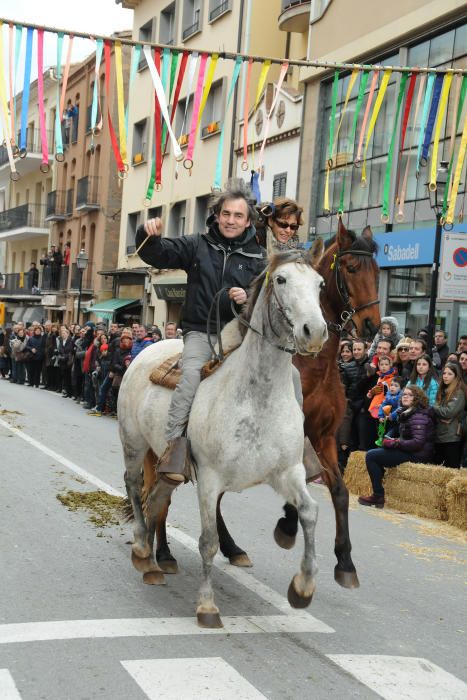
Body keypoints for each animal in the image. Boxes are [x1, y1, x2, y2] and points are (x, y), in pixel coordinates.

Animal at [119, 243, 330, 628]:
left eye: (320, 284)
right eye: (281, 279)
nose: (315, 332)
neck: (256, 397)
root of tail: (148, 349)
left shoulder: (287, 473)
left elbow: (309, 512)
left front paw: (303, 587)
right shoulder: (210, 479)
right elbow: (208, 542)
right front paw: (207, 606)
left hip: (165, 465)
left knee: (156, 499)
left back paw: (154, 563)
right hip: (133, 444)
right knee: (134, 486)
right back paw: (143, 548)